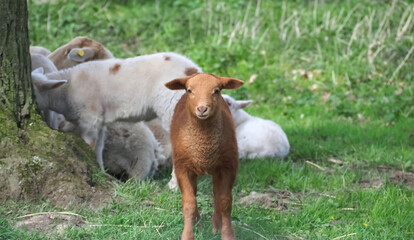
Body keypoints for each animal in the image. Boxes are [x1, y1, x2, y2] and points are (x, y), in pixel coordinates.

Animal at [30, 52, 201, 178]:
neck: (65, 91)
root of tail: (194, 71)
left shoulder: (89, 119)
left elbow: (90, 145)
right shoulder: (99, 123)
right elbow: (98, 149)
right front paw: (100, 170)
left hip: (171, 105)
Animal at [164, 73, 243, 240]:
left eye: (216, 91)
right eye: (189, 90)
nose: (202, 108)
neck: (203, 149)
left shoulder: (228, 166)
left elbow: (225, 202)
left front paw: (227, 234)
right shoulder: (182, 168)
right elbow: (189, 203)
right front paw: (188, 235)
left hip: (217, 169)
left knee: (217, 194)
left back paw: (216, 226)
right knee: (194, 194)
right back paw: (198, 225)